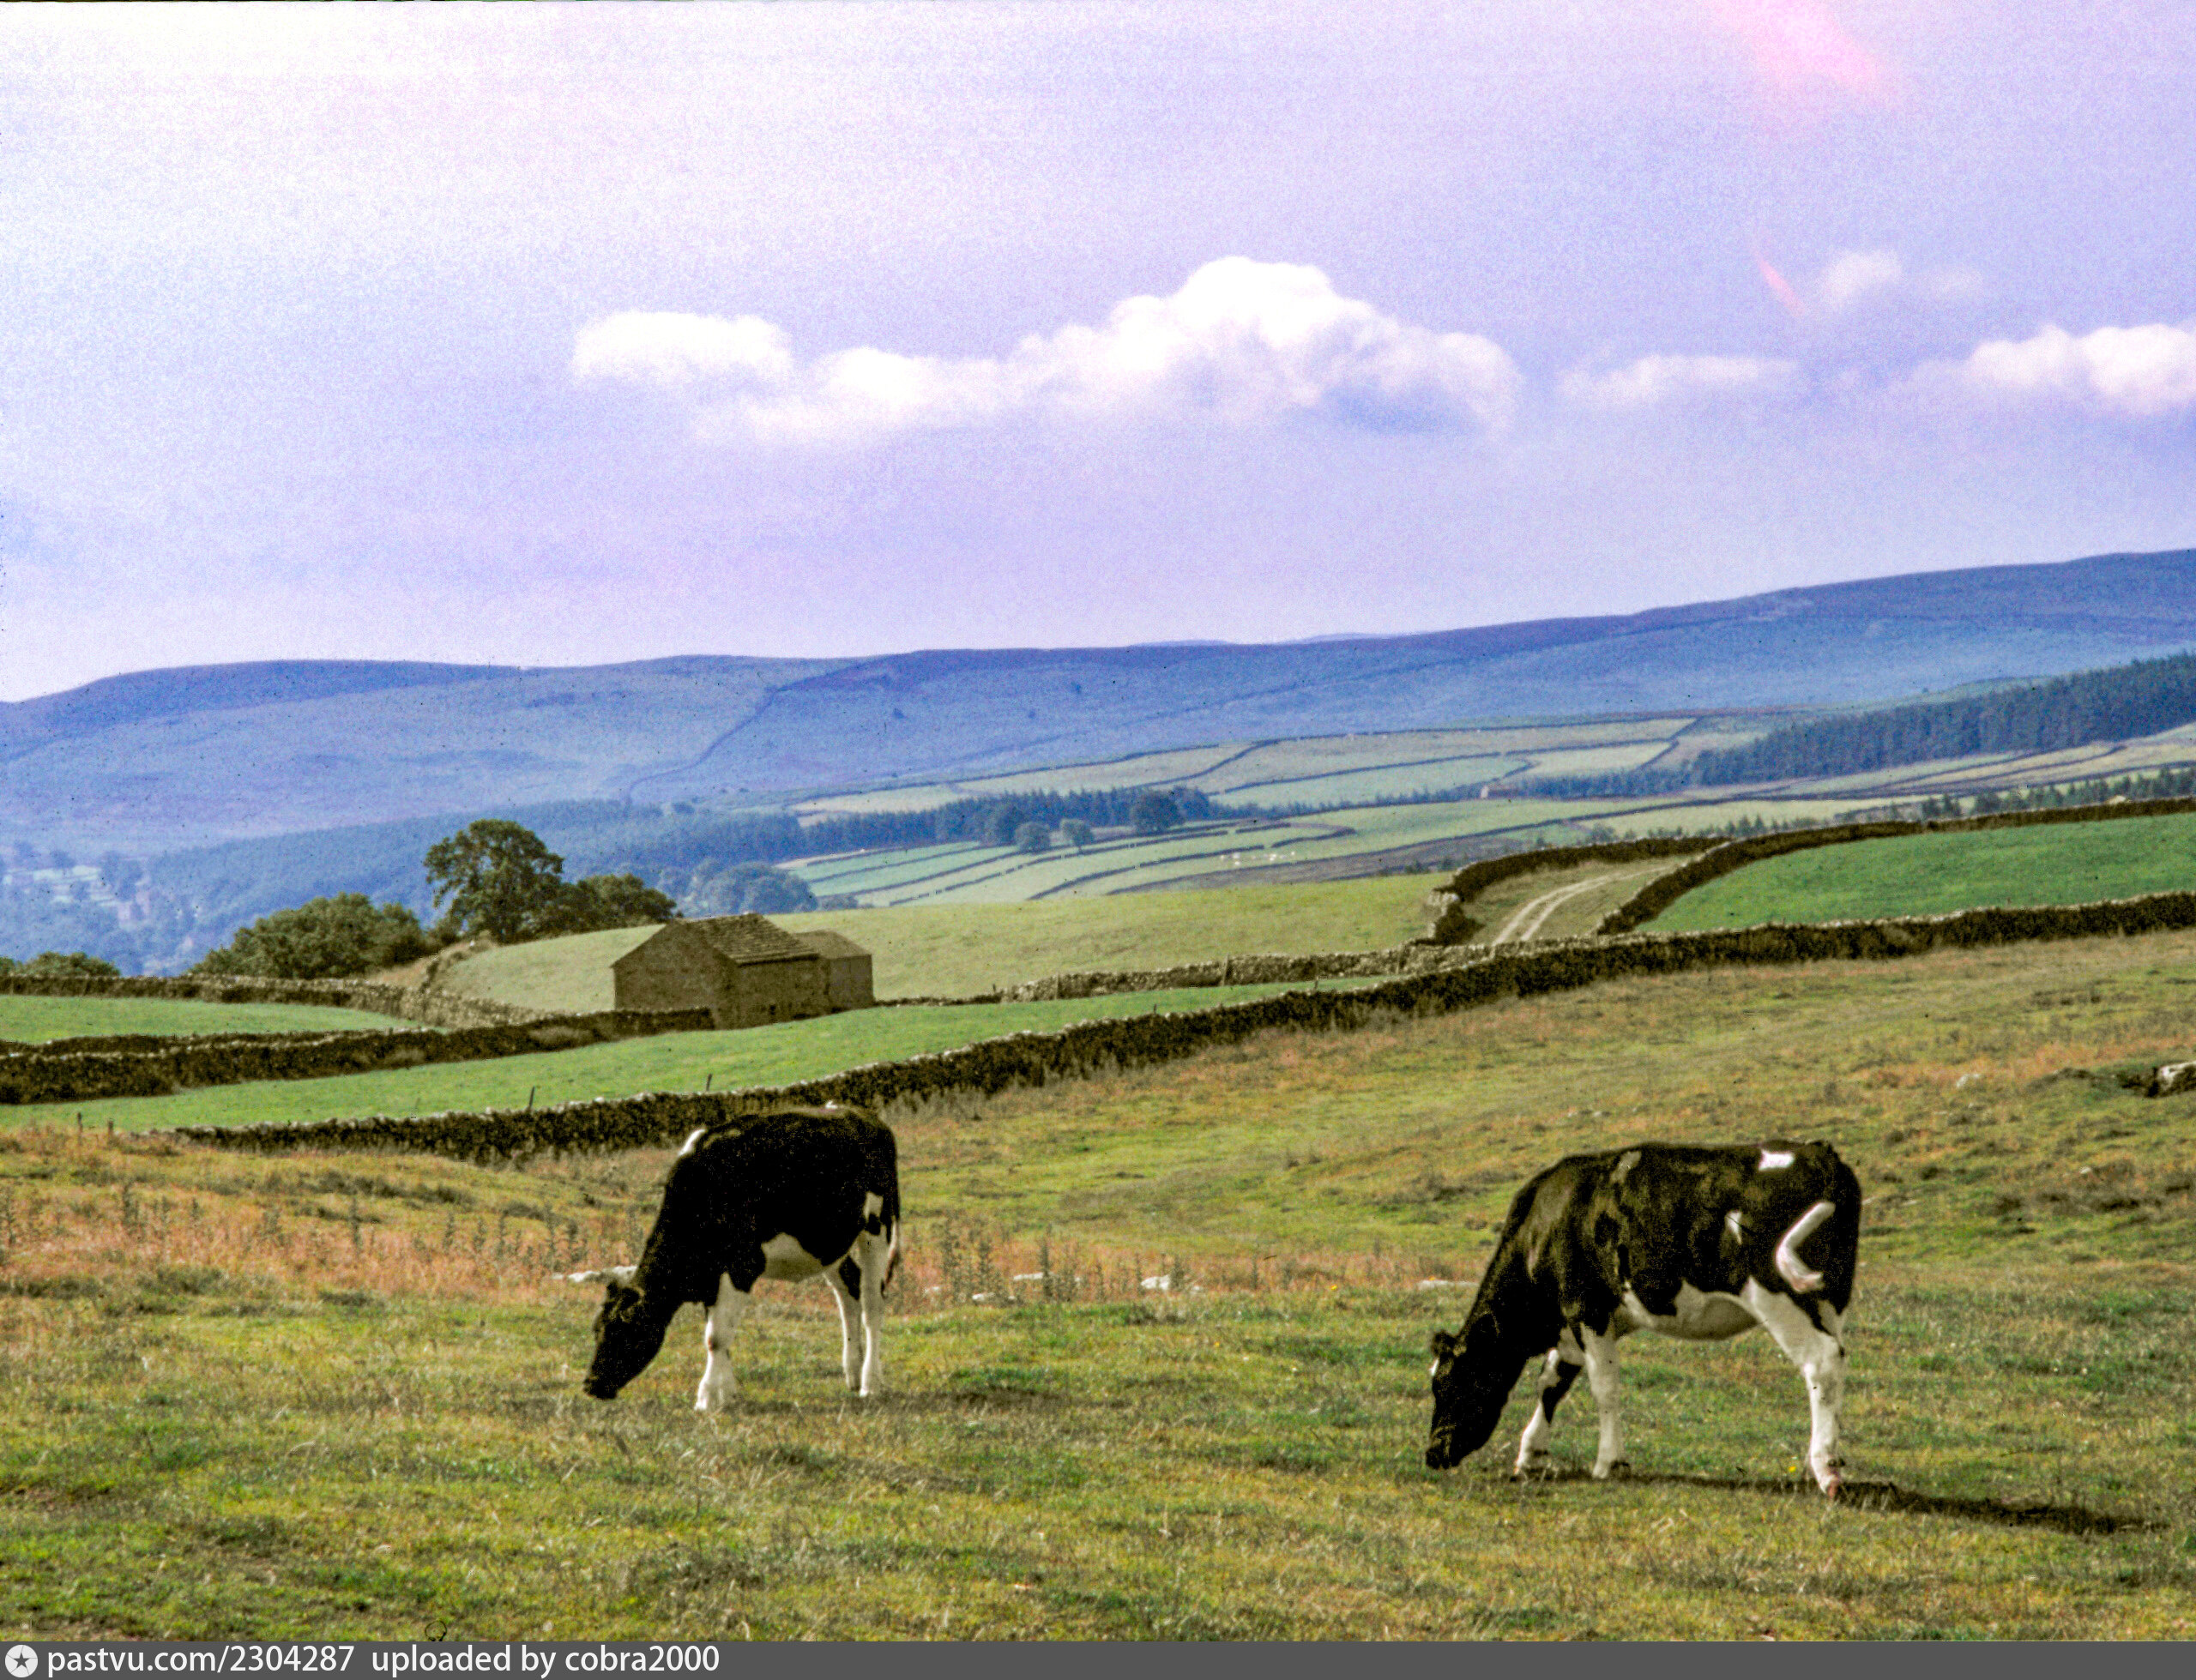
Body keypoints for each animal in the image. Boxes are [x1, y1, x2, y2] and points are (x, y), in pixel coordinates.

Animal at [568, 1106, 901, 1410]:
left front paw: (707, 1399)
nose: (591, 1385)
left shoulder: (741, 1267)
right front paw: (727, 1393)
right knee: (849, 1292)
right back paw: (853, 1373)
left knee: (873, 1304)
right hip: (828, 1243)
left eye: (623, 1332)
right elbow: (719, 1336)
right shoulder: (711, 1277)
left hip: (876, 1227)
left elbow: (716, 1337)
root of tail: (863, 1115)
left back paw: (871, 1383)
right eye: (596, 1330)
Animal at [1423, 1140, 1860, 1497]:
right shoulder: (1578, 1322)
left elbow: (1603, 1387)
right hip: (1828, 1298)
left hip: (1778, 1295)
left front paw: (1609, 1462)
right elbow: (1552, 1383)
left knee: (1820, 1363)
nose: (1432, 1454)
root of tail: (1820, 1153)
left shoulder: (1586, 1309)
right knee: (1835, 1366)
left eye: (1451, 1383)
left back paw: (1826, 1471)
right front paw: (1531, 1452)